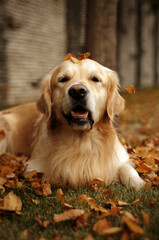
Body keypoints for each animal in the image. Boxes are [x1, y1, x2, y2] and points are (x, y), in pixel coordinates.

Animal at [0, 56, 145, 189]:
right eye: (63, 79)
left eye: (95, 79)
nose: (77, 91)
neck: (81, 141)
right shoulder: (33, 167)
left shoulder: (122, 157)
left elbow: (127, 169)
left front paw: (139, 184)